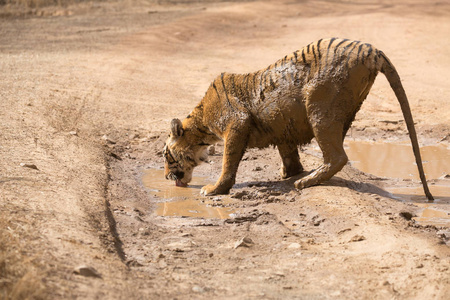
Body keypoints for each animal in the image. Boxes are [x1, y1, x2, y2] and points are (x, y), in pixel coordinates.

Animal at [163, 38, 434, 202]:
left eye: (166, 156)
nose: (166, 177)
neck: (200, 127)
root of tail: (370, 49)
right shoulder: (282, 125)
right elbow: (288, 152)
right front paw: (289, 172)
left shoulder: (236, 124)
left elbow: (228, 162)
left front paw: (214, 190)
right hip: (344, 108)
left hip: (320, 106)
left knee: (338, 156)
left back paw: (305, 182)